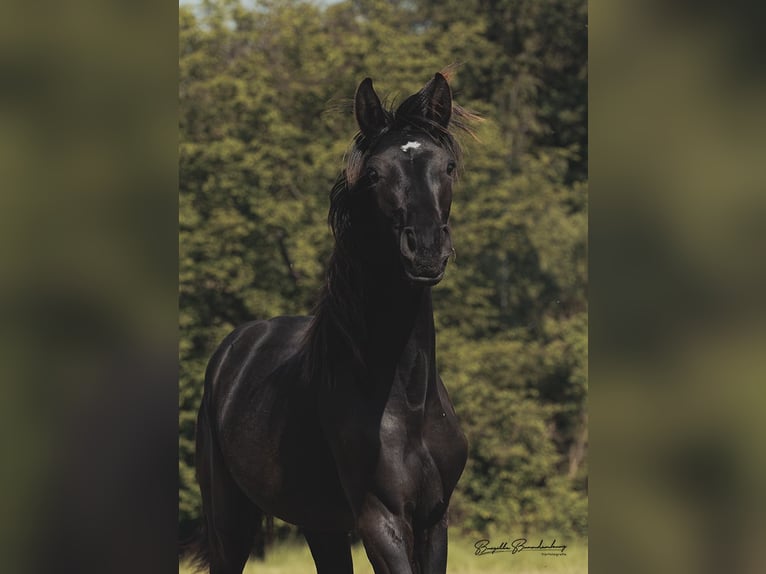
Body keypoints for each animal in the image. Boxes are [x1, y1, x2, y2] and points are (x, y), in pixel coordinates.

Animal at [188, 73, 474, 574]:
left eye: (449, 166)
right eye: (375, 174)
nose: (425, 250)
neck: (407, 401)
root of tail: (234, 347)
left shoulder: (433, 520)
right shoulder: (380, 519)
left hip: (319, 524)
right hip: (229, 521)